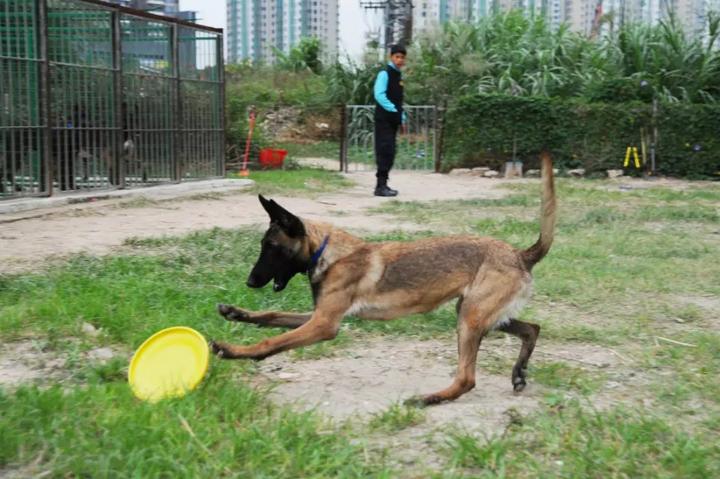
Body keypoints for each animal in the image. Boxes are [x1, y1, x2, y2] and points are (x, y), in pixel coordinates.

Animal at [210, 153, 556, 404]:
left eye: (270, 247)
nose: (250, 282)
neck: (328, 251)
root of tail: (520, 254)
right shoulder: (318, 315)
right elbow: (272, 316)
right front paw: (237, 313)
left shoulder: (324, 324)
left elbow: (272, 341)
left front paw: (233, 350)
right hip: (475, 312)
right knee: (532, 329)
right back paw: (518, 372)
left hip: (470, 319)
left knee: (468, 378)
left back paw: (431, 398)